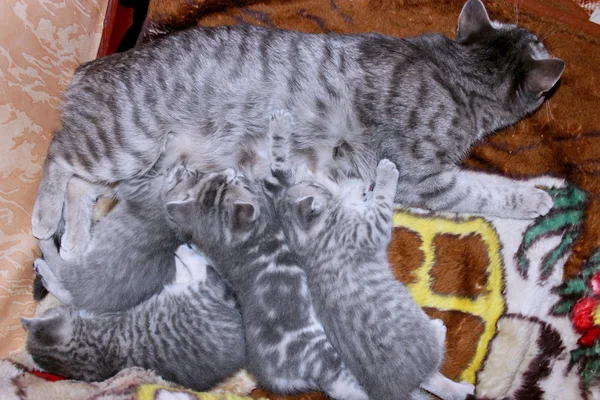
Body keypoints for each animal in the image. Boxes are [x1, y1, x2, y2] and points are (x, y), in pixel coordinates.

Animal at [32, 0, 564, 260]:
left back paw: (76, 241)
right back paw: (44, 217)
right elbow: (486, 190)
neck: (460, 72)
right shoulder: (427, 179)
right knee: (59, 156)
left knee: (80, 185)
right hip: (126, 143)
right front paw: (533, 198)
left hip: (141, 167)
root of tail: (92, 65)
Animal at [163, 111, 370, 400]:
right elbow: (279, 163)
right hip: (322, 351)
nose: (231, 171)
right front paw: (279, 125)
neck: (233, 242)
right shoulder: (274, 191)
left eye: (217, 179)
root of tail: (279, 379)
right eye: (230, 182)